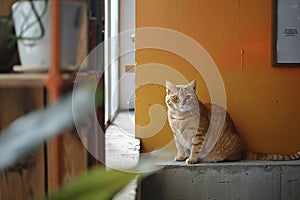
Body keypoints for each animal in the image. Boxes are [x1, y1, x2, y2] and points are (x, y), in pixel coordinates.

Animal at [165, 79, 300, 164]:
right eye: (175, 97)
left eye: (187, 97)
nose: (182, 103)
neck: (180, 118)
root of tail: (243, 150)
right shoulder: (176, 135)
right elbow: (180, 147)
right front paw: (181, 156)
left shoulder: (199, 133)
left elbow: (195, 148)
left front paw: (192, 159)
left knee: (237, 157)